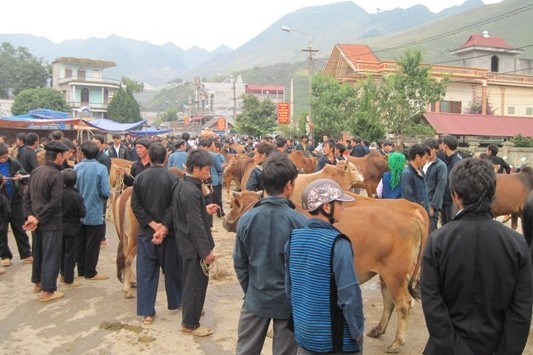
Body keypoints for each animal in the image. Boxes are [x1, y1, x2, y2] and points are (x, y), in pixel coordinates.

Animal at [223, 191, 428, 354]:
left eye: (232, 205)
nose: (224, 221)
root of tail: (413, 211)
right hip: (386, 275)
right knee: (388, 301)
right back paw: (378, 330)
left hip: (395, 275)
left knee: (403, 304)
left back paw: (397, 343)